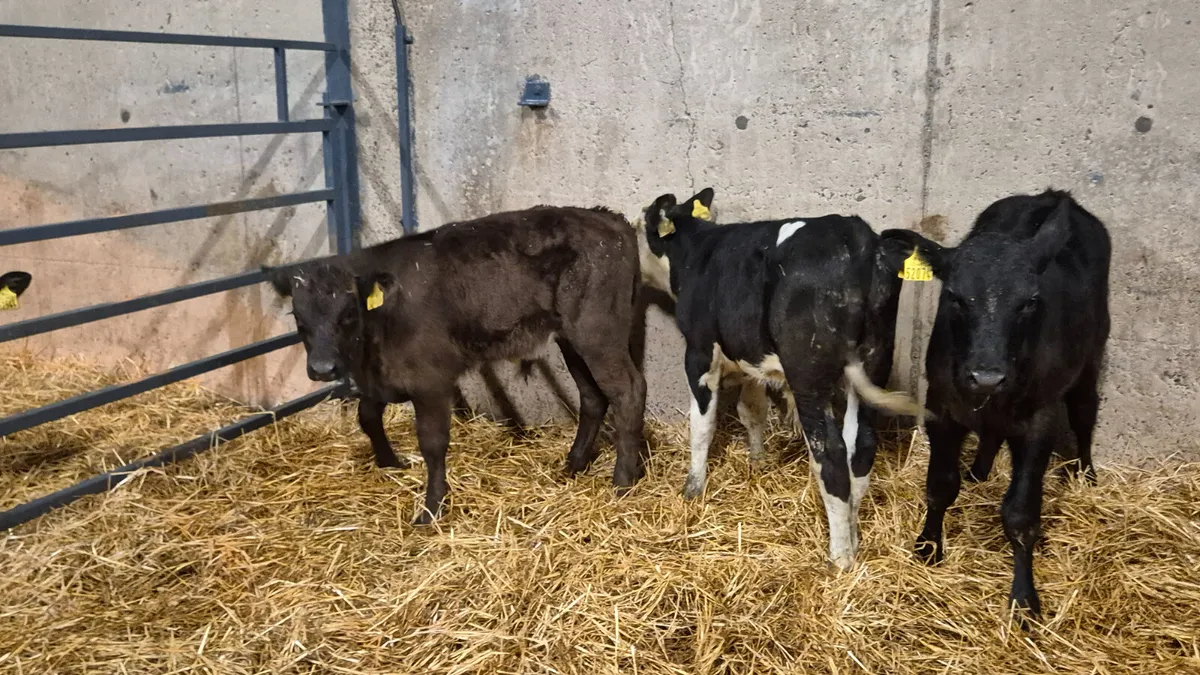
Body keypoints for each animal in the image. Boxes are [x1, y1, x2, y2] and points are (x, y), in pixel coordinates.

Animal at [266, 206, 647, 524]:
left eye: (348, 313)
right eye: (298, 317)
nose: (323, 368)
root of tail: (609, 218)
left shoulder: (431, 380)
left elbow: (432, 442)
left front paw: (431, 508)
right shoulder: (380, 377)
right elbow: (367, 416)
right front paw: (390, 463)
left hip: (598, 333)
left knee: (629, 390)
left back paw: (623, 481)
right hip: (571, 338)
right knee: (593, 397)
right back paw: (574, 465)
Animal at [637, 187, 924, 569]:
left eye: (639, 226)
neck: (696, 253)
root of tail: (855, 236)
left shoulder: (699, 352)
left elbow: (702, 424)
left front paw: (693, 488)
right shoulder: (750, 359)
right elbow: (752, 412)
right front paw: (757, 462)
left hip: (809, 376)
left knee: (831, 454)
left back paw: (840, 557)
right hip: (873, 360)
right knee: (860, 445)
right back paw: (853, 536)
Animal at [882, 189, 1110, 619]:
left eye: (1030, 301)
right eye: (954, 297)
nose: (987, 376)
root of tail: (1055, 195)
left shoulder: (1040, 421)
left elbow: (1020, 513)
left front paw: (1024, 597)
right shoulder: (942, 406)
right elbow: (940, 485)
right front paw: (929, 546)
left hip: (1091, 355)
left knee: (1084, 412)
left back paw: (1086, 475)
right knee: (991, 431)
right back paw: (979, 470)